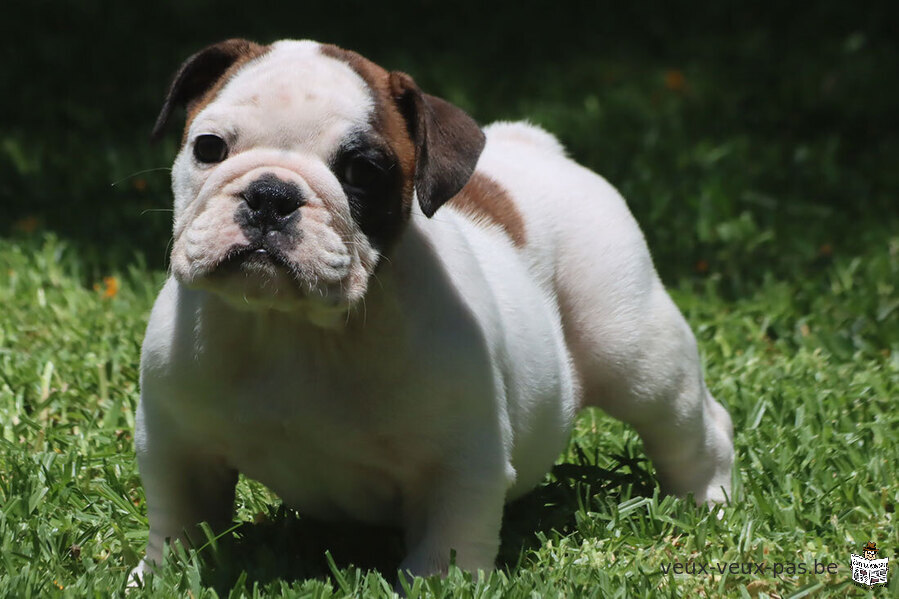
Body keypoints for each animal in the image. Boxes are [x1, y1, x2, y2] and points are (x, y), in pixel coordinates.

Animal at [135, 39, 740, 584]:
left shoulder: (459, 463)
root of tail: (539, 147)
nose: (271, 194)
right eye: (208, 147)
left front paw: (439, 584)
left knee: (686, 421)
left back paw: (707, 499)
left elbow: (449, 539)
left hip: (632, 346)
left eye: (362, 170)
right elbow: (180, 521)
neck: (291, 326)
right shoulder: (177, 447)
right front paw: (162, 577)